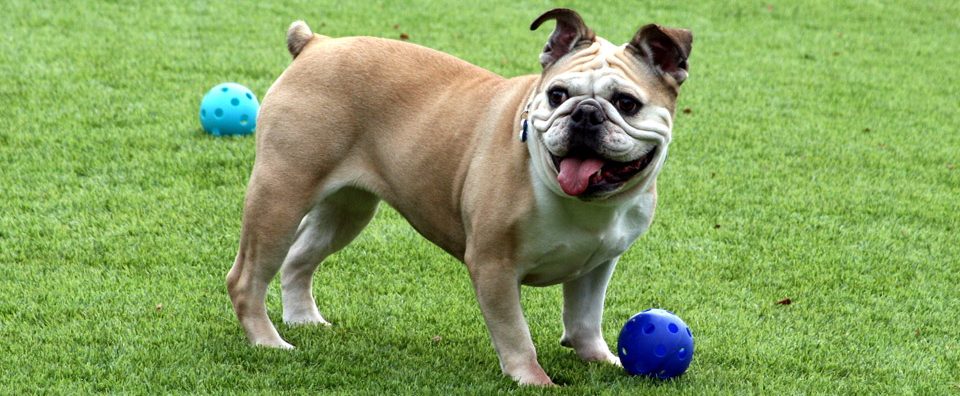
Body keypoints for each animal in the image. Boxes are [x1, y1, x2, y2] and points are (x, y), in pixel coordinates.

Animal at [227, 8, 688, 386]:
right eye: (557, 94)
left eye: (626, 103)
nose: (585, 113)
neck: (581, 202)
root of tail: (315, 44)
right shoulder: (494, 267)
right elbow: (515, 332)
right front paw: (533, 380)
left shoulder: (597, 265)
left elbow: (584, 320)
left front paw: (601, 358)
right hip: (280, 197)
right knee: (247, 278)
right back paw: (268, 342)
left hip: (345, 212)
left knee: (299, 259)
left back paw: (304, 321)